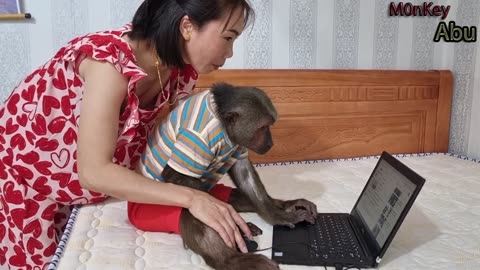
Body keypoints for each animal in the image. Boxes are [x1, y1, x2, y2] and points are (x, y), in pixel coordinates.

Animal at [131, 83, 318, 270]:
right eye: (263, 128)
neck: (222, 123)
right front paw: (238, 227)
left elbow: (243, 173)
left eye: (269, 126)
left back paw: (286, 205)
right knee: (196, 206)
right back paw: (231, 259)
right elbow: (176, 177)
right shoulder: (197, 135)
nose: (271, 143)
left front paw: (276, 215)